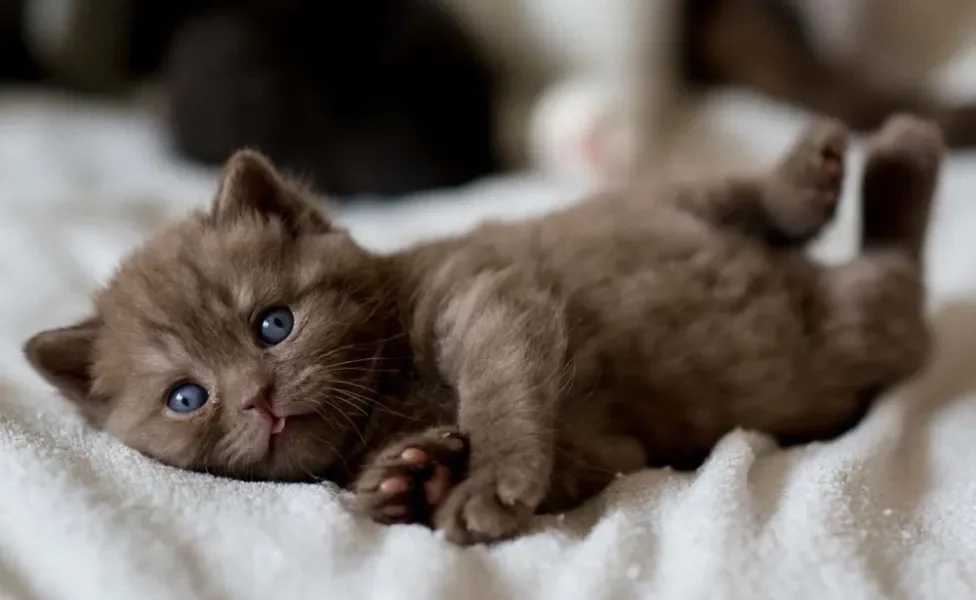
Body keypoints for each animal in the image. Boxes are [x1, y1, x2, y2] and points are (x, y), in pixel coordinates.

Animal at [21, 115, 936, 548]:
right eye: (187, 398)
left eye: (273, 324)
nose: (260, 401)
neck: (390, 390)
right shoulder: (605, 449)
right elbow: (565, 460)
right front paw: (413, 477)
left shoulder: (487, 292)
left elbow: (499, 389)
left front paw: (486, 476)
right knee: (877, 275)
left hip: (684, 227)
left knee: (824, 232)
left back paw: (870, 157)